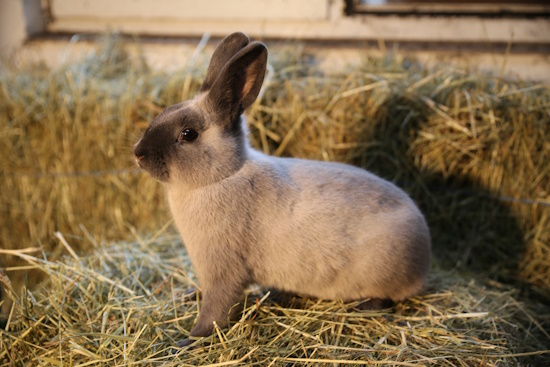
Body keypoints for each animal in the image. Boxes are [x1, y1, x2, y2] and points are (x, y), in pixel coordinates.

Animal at [134, 31, 432, 348]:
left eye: (188, 134)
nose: (138, 153)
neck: (222, 177)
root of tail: (424, 254)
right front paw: (190, 296)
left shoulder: (223, 272)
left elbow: (215, 310)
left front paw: (189, 340)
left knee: (385, 299)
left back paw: (360, 306)